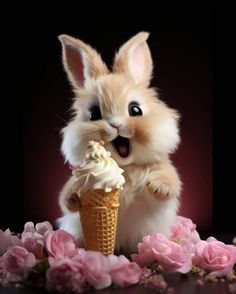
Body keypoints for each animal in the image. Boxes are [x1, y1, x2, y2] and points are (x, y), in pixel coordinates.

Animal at [57, 31, 183, 253]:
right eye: (94, 114)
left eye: (135, 110)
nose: (116, 125)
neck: (125, 167)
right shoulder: (75, 178)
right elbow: (65, 196)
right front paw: (73, 198)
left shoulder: (164, 168)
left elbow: (169, 179)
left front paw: (158, 187)